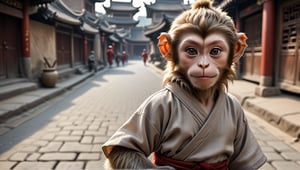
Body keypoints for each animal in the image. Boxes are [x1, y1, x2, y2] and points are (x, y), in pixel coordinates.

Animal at [102, 0, 266, 169]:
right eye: (191, 51)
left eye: (215, 51)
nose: (203, 65)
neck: (202, 96)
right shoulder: (155, 105)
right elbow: (123, 151)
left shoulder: (239, 112)